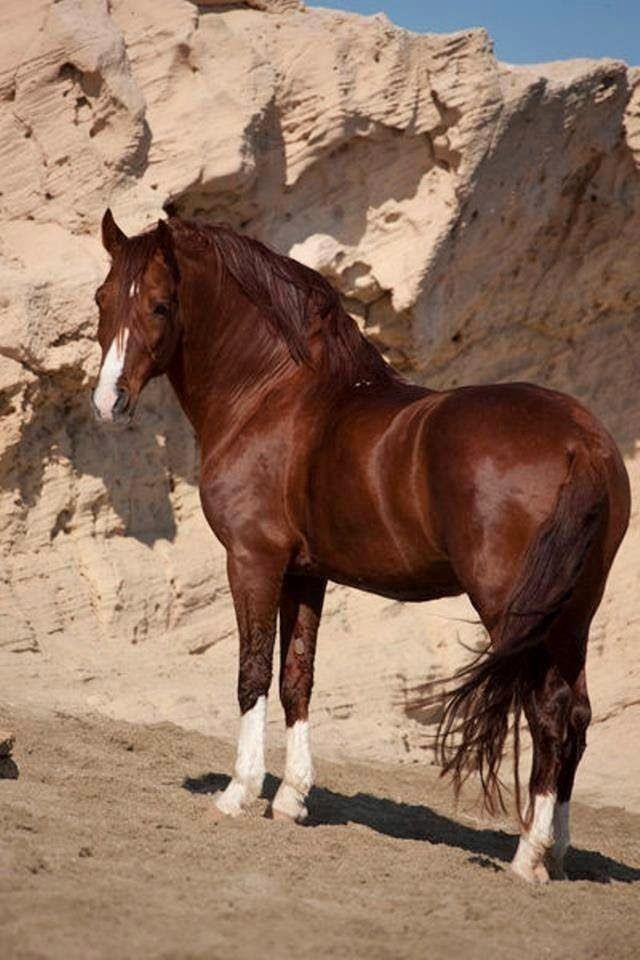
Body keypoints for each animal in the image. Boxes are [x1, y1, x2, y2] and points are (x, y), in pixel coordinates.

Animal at [92, 209, 630, 883]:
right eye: (102, 298)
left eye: (160, 305)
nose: (108, 403)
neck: (274, 395)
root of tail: (582, 440)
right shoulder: (306, 574)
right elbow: (297, 678)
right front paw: (291, 800)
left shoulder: (252, 562)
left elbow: (252, 673)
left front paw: (239, 793)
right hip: (571, 613)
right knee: (576, 716)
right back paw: (554, 853)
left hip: (517, 611)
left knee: (549, 714)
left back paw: (527, 857)